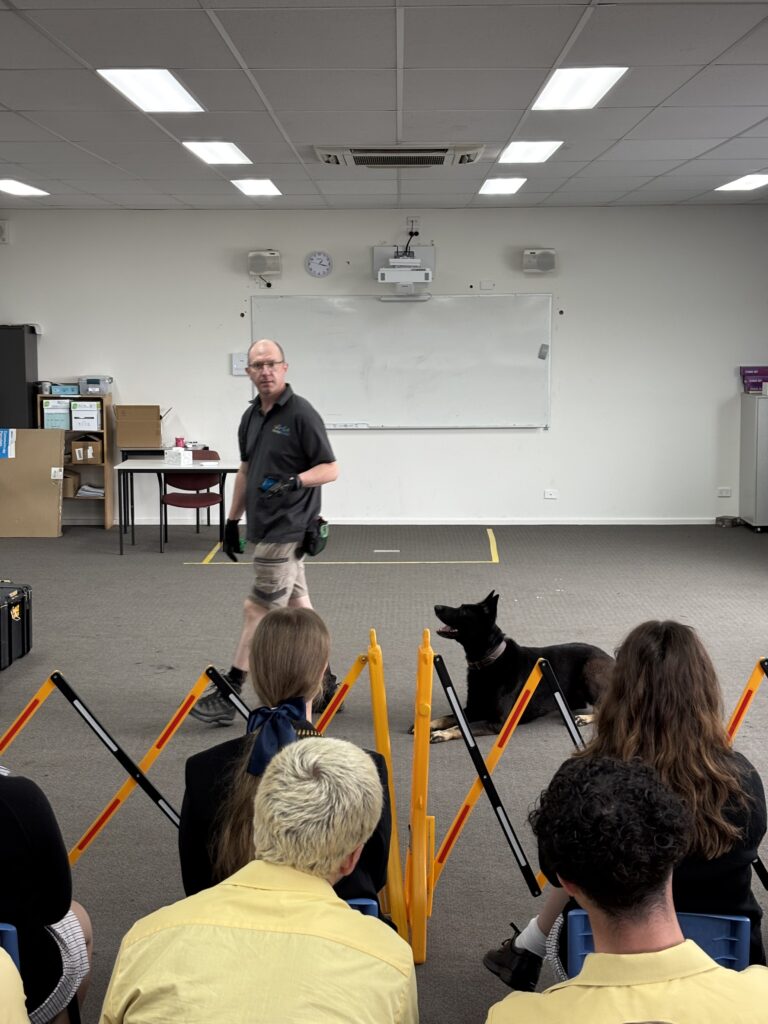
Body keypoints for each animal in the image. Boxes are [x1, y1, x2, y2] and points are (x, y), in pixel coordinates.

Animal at [426, 590, 613, 742]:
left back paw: (584, 718)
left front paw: (443, 733)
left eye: (463, 610)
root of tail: (610, 658)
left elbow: (463, 727)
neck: (490, 658)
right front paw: (430, 724)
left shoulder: (498, 722)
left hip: (589, 670)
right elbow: (448, 717)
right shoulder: (474, 709)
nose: (436, 606)